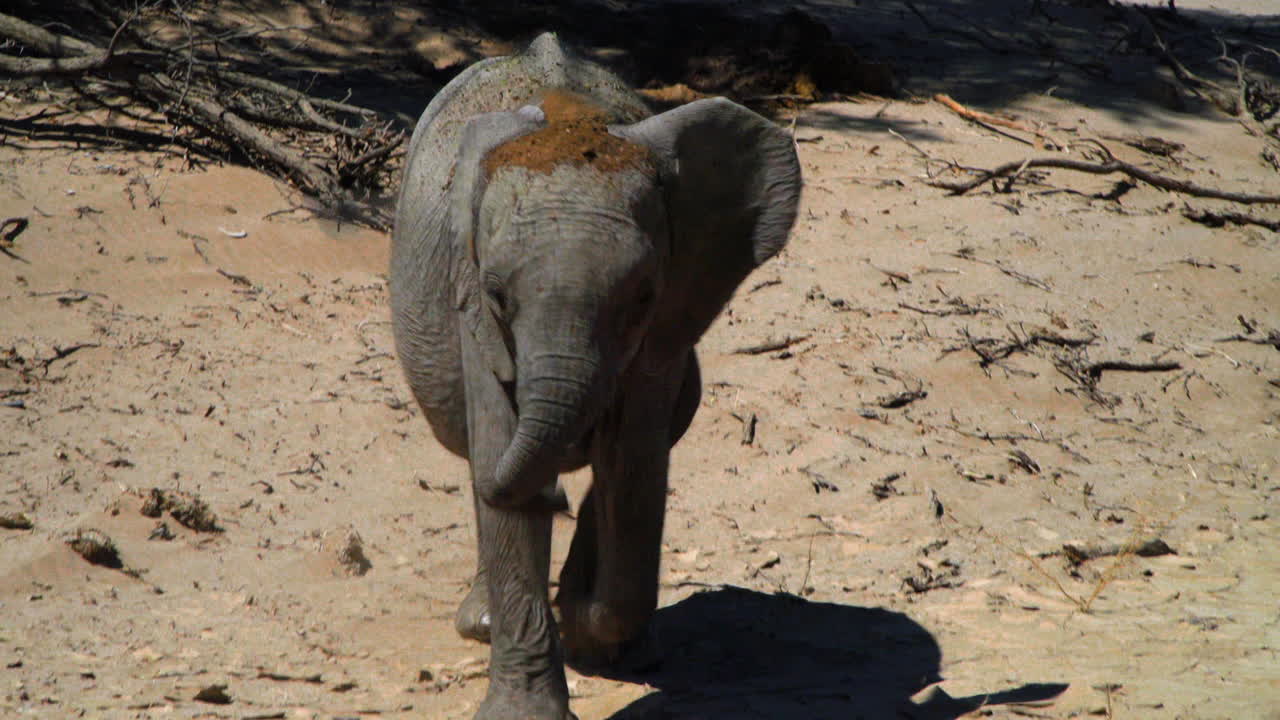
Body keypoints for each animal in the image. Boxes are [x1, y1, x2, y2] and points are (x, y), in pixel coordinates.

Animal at [390, 32, 801, 720]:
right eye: (497, 295)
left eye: (642, 295)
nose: (551, 495)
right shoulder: (469, 303)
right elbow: (498, 447)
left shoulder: (665, 320)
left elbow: (633, 462)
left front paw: (585, 625)